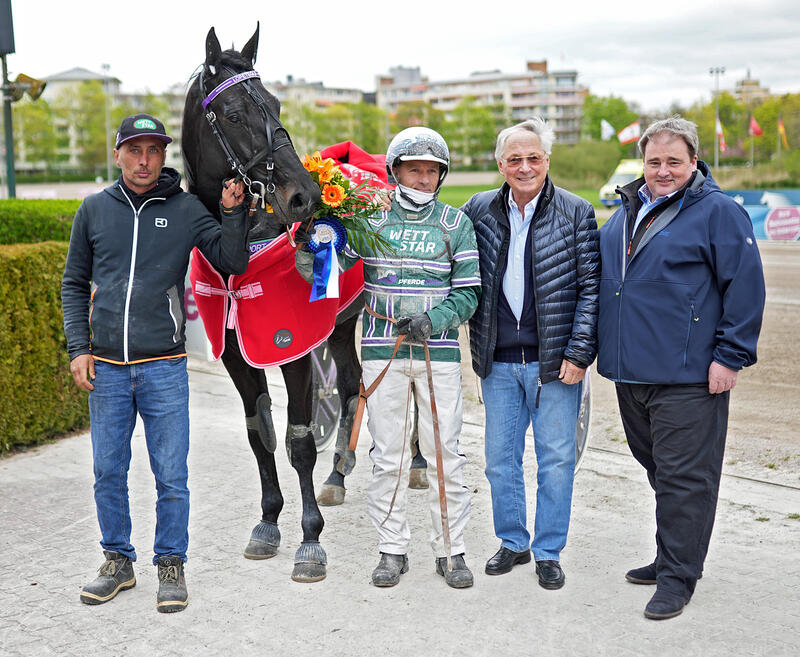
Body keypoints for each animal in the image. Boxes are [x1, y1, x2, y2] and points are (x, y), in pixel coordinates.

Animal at [183, 25, 360, 580]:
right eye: (234, 114)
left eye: (278, 104)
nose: (304, 195)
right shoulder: (239, 352)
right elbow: (258, 431)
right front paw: (268, 520)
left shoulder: (292, 347)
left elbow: (298, 439)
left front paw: (310, 537)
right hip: (341, 325)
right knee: (353, 386)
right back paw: (338, 475)